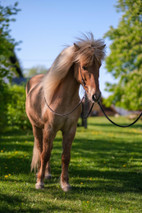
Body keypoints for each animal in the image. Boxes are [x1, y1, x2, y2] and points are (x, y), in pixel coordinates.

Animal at [25, 32, 105, 191]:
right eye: (84, 66)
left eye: (99, 65)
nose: (95, 95)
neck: (63, 100)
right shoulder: (49, 128)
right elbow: (45, 154)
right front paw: (39, 182)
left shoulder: (69, 130)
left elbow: (65, 156)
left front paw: (65, 183)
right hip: (36, 127)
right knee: (41, 148)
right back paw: (42, 174)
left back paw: (48, 174)